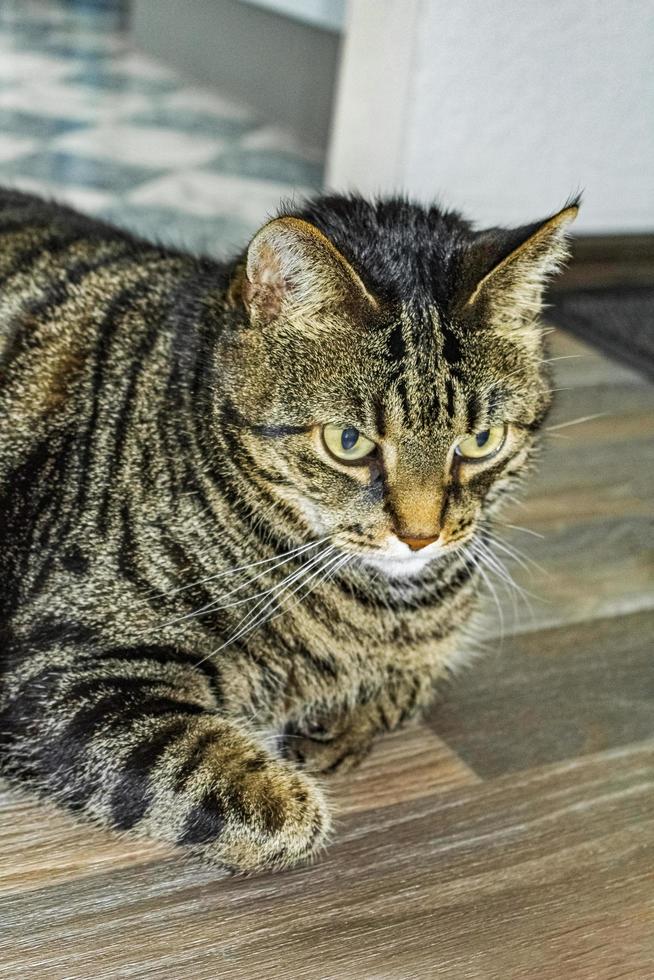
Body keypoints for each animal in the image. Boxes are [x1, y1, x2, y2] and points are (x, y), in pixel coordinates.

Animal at [0, 188, 580, 868]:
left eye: (482, 440)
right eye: (348, 442)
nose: (421, 536)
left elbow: (415, 681)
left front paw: (348, 718)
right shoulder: (52, 670)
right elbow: (268, 804)